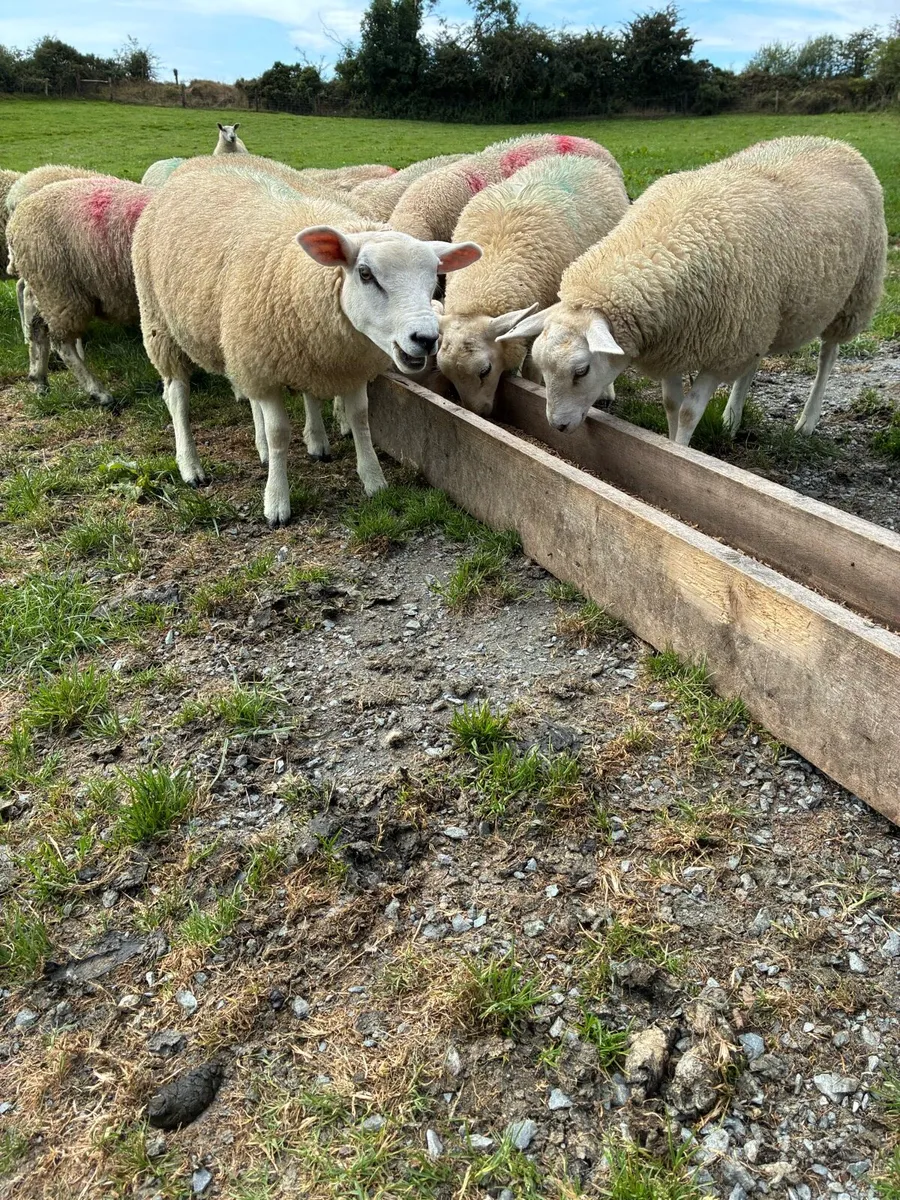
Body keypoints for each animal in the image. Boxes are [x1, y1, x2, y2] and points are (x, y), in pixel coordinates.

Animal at [7, 175, 154, 405]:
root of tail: (17, 216)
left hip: (44, 285)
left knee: (37, 327)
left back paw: (39, 380)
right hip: (59, 288)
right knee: (61, 341)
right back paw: (98, 392)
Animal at [131, 161, 481, 526]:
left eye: (433, 279)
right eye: (366, 274)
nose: (426, 339)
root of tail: (197, 162)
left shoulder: (340, 362)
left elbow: (360, 417)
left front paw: (373, 479)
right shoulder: (268, 363)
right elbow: (279, 433)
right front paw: (276, 501)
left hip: (242, 342)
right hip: (159, 322)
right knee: (176, 397)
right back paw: (191, 465)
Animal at [498, 137, 887, 445]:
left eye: (581, 371)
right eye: (541, 366)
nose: (558, 426)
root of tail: (836, 143)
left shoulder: (721, 347)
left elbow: (689, 411)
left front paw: (683, 449)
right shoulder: (674, 342)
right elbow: (672, 404)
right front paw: (671, 446)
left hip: (854, 294)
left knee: (828, 356)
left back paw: (807, 420)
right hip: (763, 315)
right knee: (753, 363)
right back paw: (732, 418)